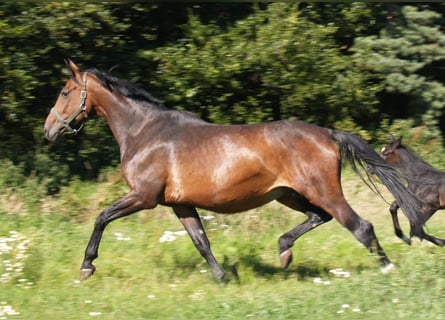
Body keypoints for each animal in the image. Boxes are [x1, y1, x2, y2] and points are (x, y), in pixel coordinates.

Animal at [43, 58, 424, 282]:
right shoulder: (180, 204)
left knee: (359, 226)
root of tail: (328, 134)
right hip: (289, 195)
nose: (49, 130)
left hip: (322, 191)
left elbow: (101, 218)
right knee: (320, 218)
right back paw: (284, 252)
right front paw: (223, 278)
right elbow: (201, 241)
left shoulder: (143, 196)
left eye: (65, 91)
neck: (144, 131)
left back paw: (387, 269)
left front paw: (87, 266)